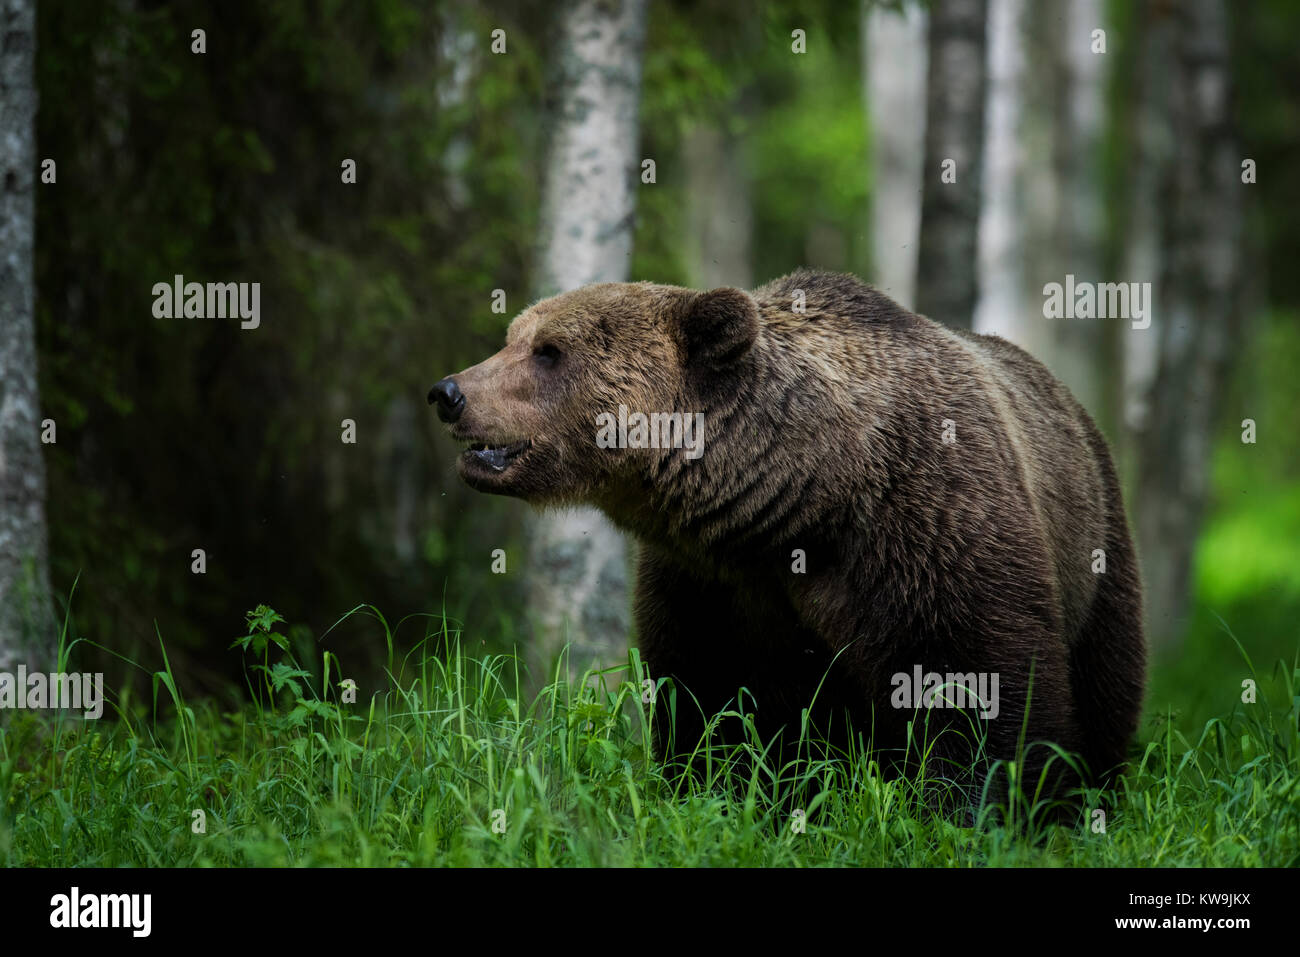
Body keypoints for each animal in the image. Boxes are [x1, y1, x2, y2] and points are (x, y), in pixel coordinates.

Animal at [431, 269, 1144, 806]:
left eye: (549, 351)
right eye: (514, 337)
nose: (449, 391)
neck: (804, 501)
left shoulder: (930, 525)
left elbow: (977, 683)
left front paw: (979, 806)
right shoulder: (710, 581)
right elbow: (709, 697)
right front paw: (714, 790)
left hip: (1098, 546)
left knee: (1105, 684)